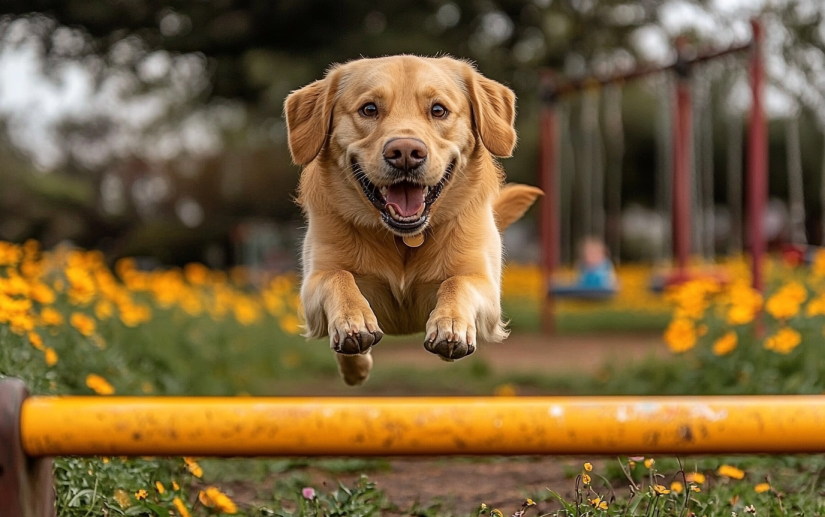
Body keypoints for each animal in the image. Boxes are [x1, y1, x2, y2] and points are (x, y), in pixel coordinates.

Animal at [284, 57, 540, 388]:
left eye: (438, 110)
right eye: (369, 109)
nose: (405, 152)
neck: (404, 237)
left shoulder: (484, 285)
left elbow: (456, 282)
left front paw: (451, 326)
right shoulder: (314, 281)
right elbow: (338, 277)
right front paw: (354, 323)